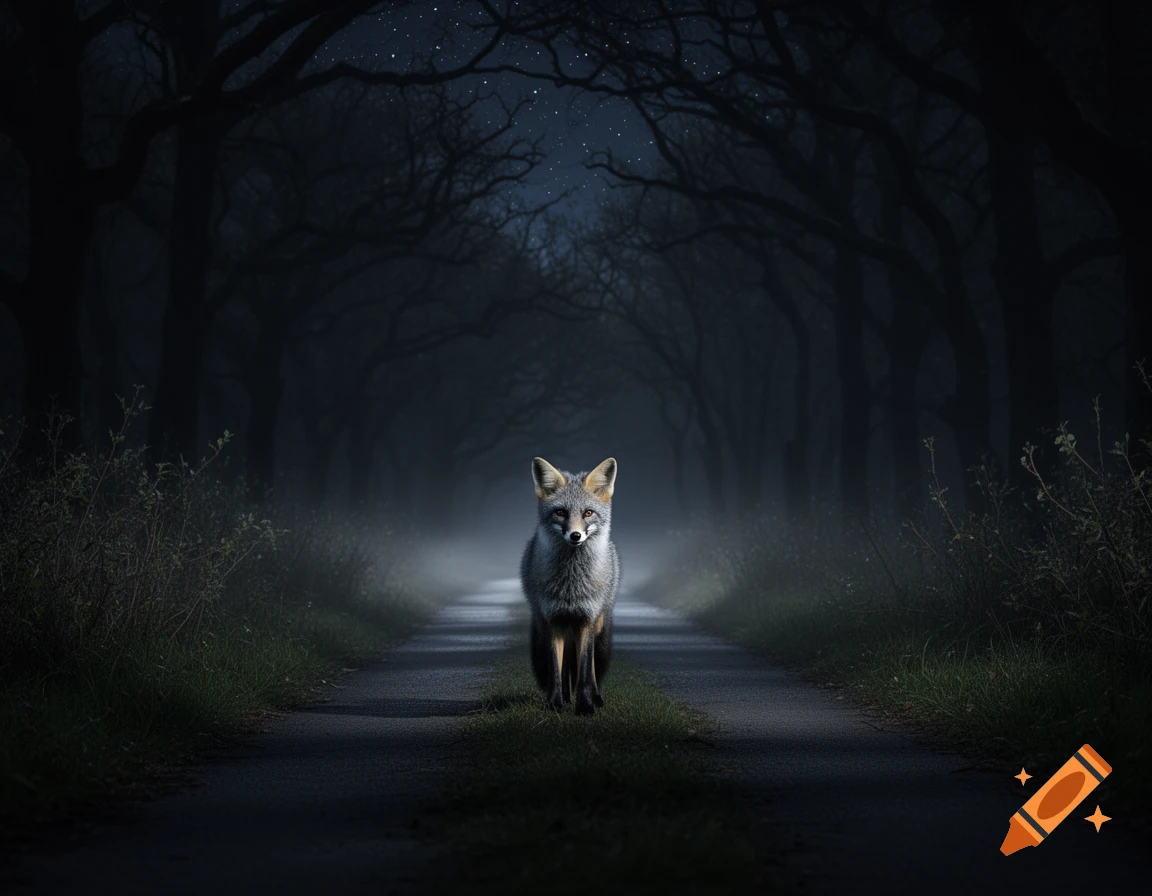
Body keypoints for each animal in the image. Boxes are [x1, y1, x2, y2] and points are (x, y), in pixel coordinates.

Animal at [520, 456, 620, 715]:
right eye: (561, 512)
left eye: (588, 513)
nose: (575, 536)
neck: (570, 588)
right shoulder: (553, 620)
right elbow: (556, 671)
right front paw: (554, 703)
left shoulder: (586, 619)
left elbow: (584, 671)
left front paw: (585, 707)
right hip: (555, 625)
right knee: (565, 665)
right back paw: (565, 696)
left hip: (596, 624)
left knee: (591, 665)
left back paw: (596, 697)